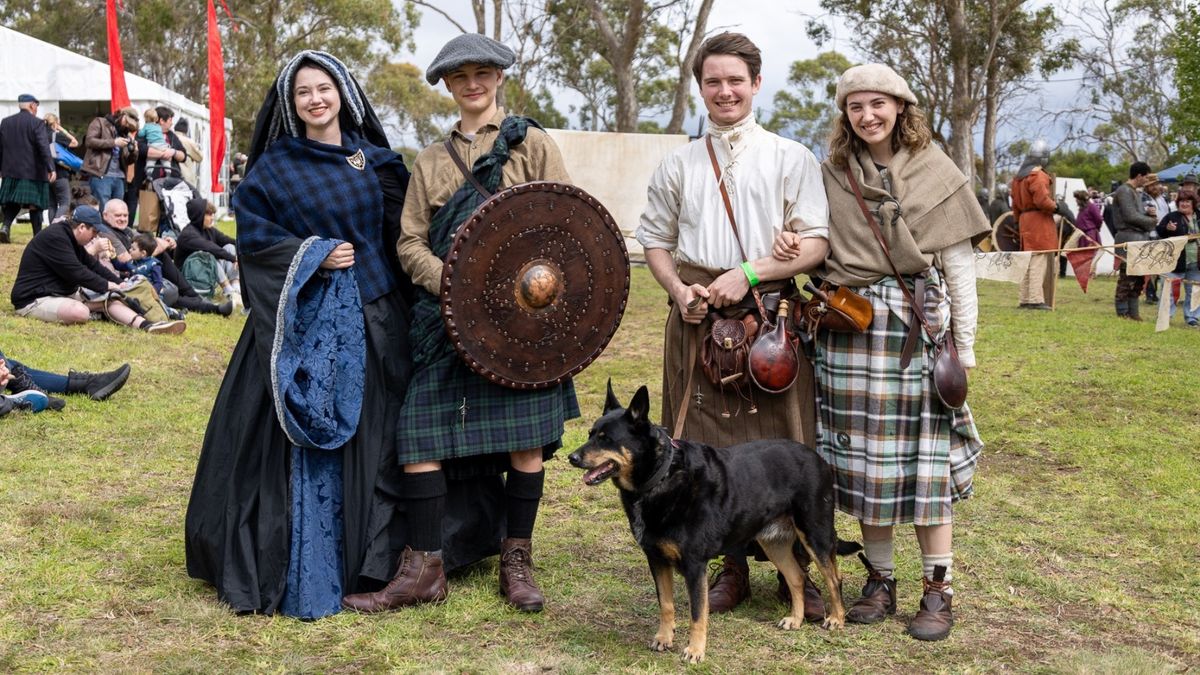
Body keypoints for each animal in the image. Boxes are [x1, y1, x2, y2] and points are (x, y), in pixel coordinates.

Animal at [566, 381, 859, 658]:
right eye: (590, 434)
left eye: (606, 439)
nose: (572, 457)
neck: (661, 477)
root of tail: (818, 458)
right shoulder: (657, 559)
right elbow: (666, 604)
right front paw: (664, 638)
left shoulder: (695, 564)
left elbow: (697, 613)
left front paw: (695, 651)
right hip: (773, 543)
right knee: (796, 577)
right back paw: (795, 620)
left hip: (815, 533)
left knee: (834, 578)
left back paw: (836, 619)